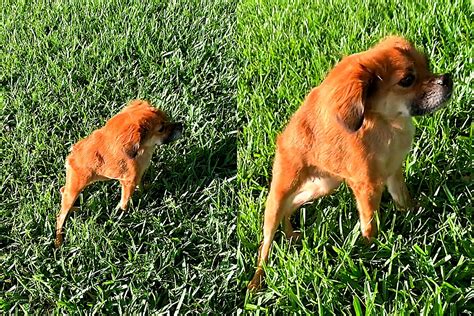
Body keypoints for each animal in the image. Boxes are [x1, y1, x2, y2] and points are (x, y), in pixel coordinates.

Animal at [54, 100, 181, 248]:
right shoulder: (128, 182)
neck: (144, 149)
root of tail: (71, 156)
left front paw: (145, 191)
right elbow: (124, 203)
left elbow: (141, 186)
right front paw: (124, 216)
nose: (182, 125)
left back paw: (76, 210)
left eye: (167, 118)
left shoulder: (137, 176)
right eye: (161, 129)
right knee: (60, 216)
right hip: (75, 188)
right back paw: (58, 241)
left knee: (62, 190)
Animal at [248, 36, 452, 288]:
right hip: (279, 195)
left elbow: (403, 199)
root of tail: (284, 137)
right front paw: (373, 253)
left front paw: (415, 215)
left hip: (322, 186)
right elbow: (370, 224)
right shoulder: (367, 187)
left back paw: (290, 234)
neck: (387, 123)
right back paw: (256, 281)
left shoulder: (394, 173)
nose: (447, 79)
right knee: (266, 244)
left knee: (292, 206)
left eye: (427, 64)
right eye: (407, 80)